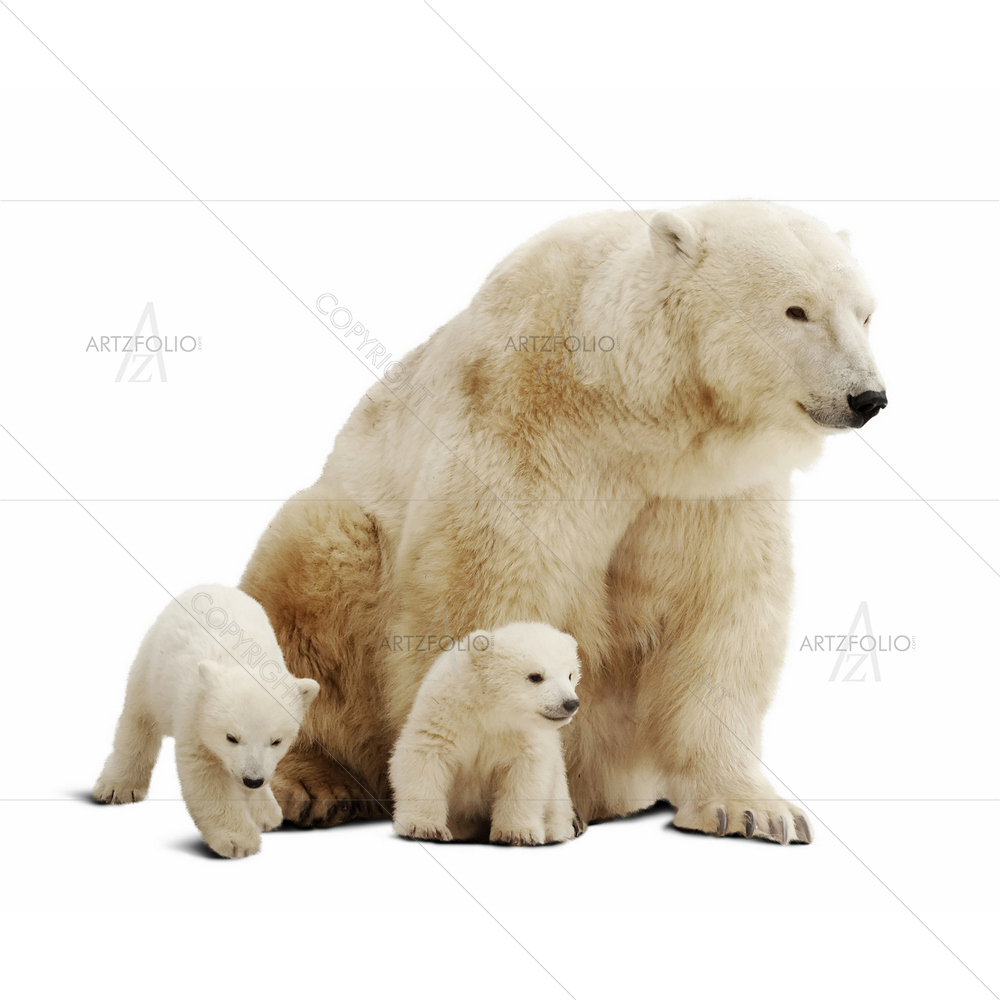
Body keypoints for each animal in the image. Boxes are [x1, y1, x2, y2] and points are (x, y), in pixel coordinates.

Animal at [94, 584, 320, 858]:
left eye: (277, 741)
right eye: (231, 737)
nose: (253, 779)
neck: (241, 662)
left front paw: (263, 813)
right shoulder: (196, 712)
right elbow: (207, 773)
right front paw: (237, 841)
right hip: (152, 666)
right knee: (138, 720)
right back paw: (117, 787)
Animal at [389, 622, 582, 846]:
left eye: (570, 674)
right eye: (535, 676)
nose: (571, 703)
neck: (490, 710)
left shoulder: (524, 735)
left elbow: (526, 774)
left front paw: (517, 833)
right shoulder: (445, 714)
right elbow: (426, 756)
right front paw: (425, 828)